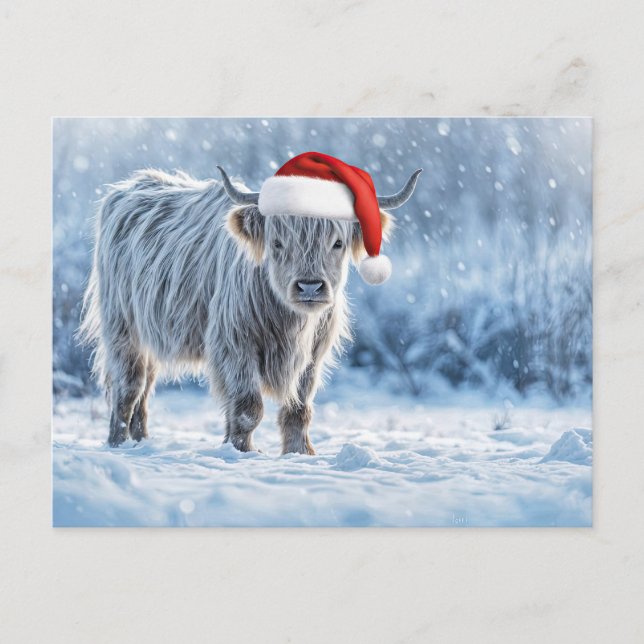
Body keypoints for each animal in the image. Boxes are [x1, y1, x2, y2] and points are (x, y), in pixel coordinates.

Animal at [80, 159, 421, 454]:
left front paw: (299, 453)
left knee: (145, 387)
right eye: (278, 242)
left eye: (337, 242)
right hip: (122, 326)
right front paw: (242, 451)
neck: (289, 321)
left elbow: (298, 408)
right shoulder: (235, 342)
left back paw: (141, 441)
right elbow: (247, 407)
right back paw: (118, 444)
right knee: (128, 386)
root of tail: (131, 185)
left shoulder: (312, 354)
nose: (309, 286)